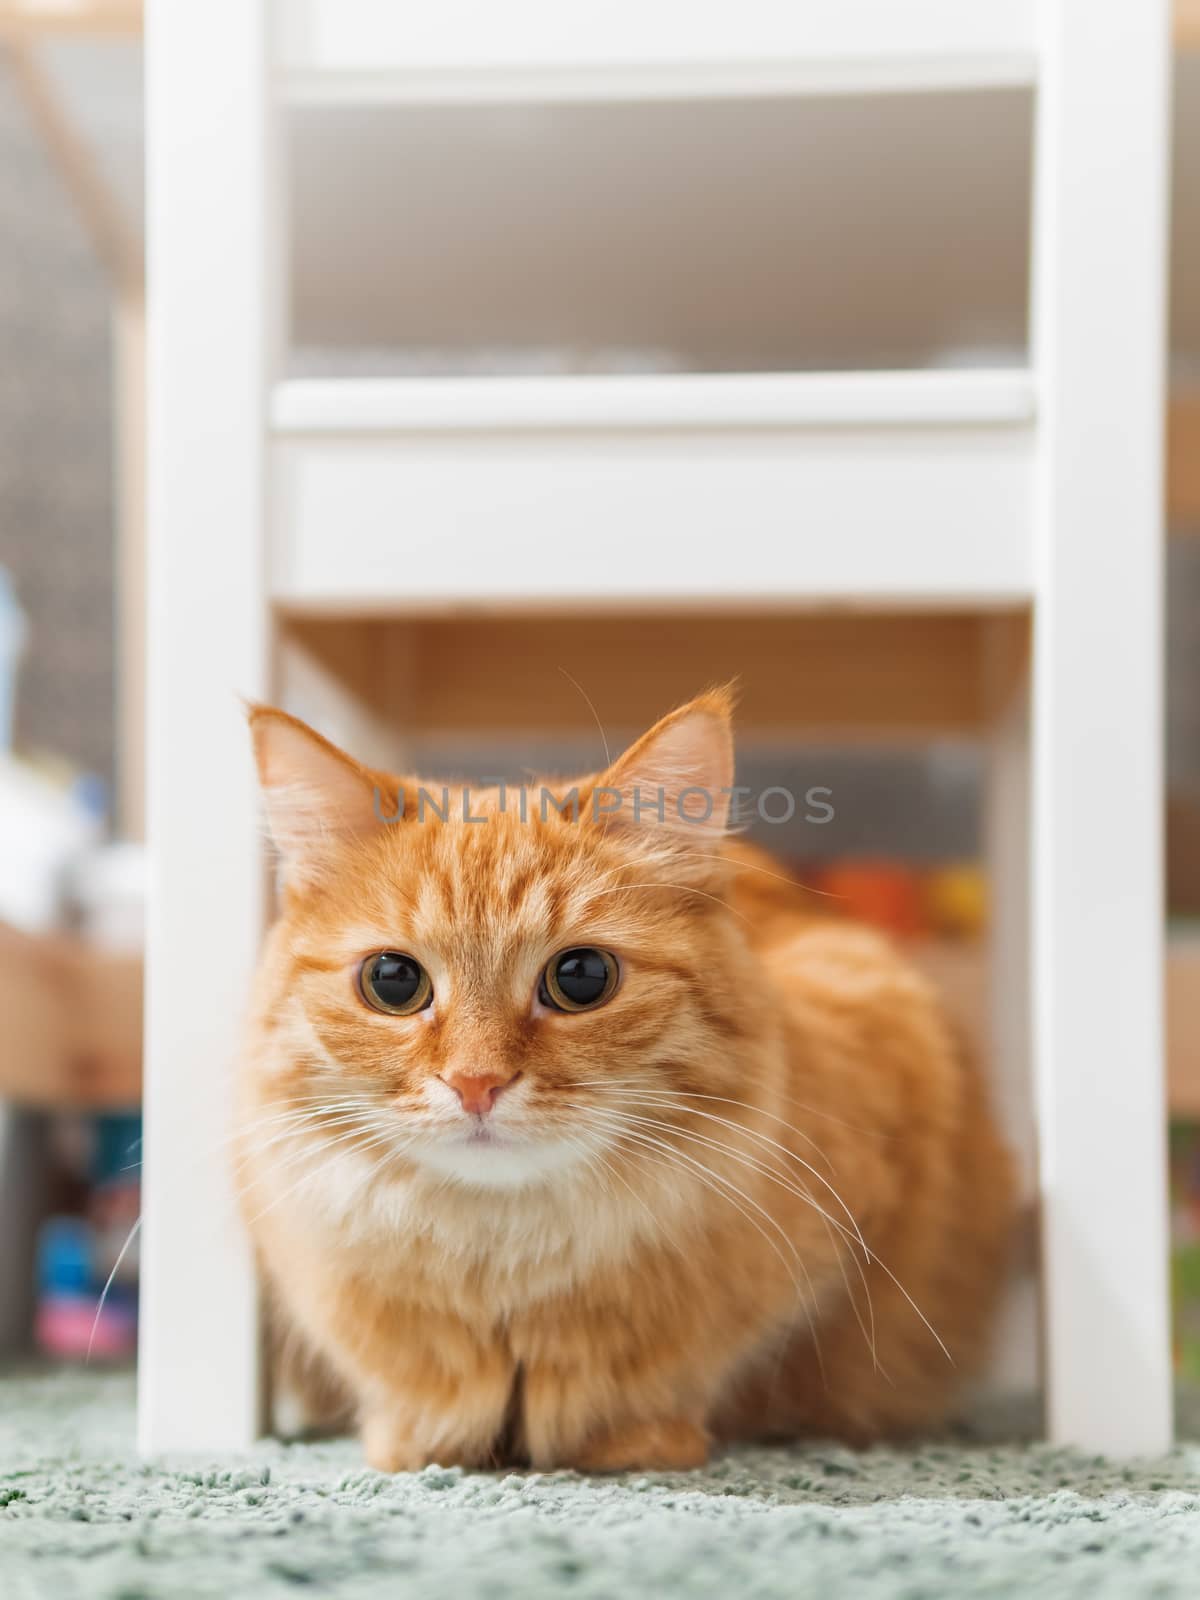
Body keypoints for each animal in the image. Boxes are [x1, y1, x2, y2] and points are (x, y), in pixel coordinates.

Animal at [240, 694, 1017, 1465]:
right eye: (393, 981)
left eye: (582, 977)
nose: (476, 1082)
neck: (505, 1268)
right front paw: (415, 1445)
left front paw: (638, 1441)